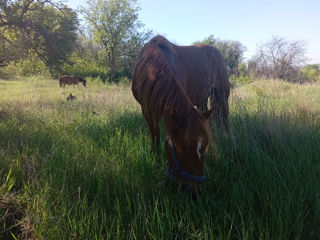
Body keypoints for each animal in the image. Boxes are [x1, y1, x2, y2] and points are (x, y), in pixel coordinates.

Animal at [132, 35, 230, 191]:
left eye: (205, 145)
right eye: (183, 146)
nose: (195, 190)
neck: (150, 69)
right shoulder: (147, 110)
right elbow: (155, 133)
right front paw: (155, 156)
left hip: (221, 94)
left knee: (225, 118)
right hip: (202, 99)